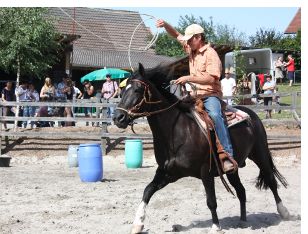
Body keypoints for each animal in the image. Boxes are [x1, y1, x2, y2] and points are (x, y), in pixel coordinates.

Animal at [112, 63, 288, 233]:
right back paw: (243, 221)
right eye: (122, 90)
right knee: (241, 191)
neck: (177, 132)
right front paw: (137, 224)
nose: (117, 117)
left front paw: (216, 227)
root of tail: (252, 115)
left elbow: (211, 201)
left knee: (271, 181)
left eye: (137, 90)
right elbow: (147, 191)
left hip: (260, 154)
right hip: (233, 169)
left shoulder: (206, 172)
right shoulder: (167, 172)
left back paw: (284, 212)